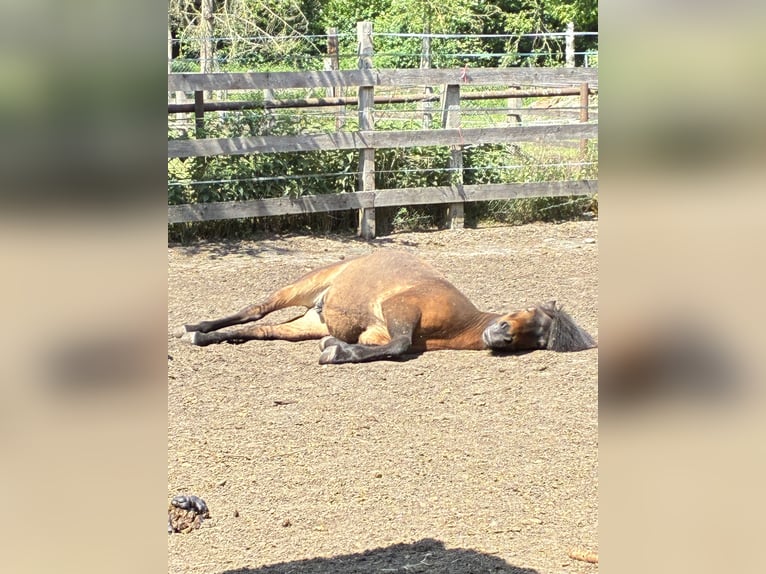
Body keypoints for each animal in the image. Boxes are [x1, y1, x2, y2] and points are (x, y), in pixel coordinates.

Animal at [175, 249, 596, 364]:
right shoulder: (401, 307)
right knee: (256, 310)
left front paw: (337, 348)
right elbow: (400, 345)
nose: (503, 337)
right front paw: (336, 353)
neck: (461, 325)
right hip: (304, 285)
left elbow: (388, 345)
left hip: (307, 323)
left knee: (258, 329)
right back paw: (194, 327)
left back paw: (204, 338)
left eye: (540, 339)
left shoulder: (376, 333)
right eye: (528, 313)